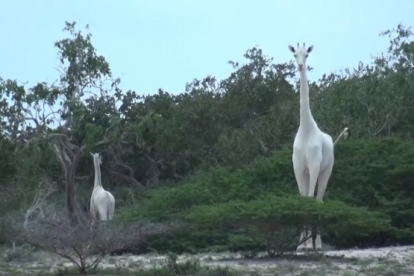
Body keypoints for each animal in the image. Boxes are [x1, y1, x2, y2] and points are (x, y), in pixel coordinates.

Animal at [288, 42, 350, 251]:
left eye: (306, 54)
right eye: (294, 55)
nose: (300, 65)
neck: (306, 129)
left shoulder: (314, 166)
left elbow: (311, 200)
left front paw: (309, 244)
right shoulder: (299, 168)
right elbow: (302, 199)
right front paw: (300, 245)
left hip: (326, 170)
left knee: (320, 200)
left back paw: (319, 243)